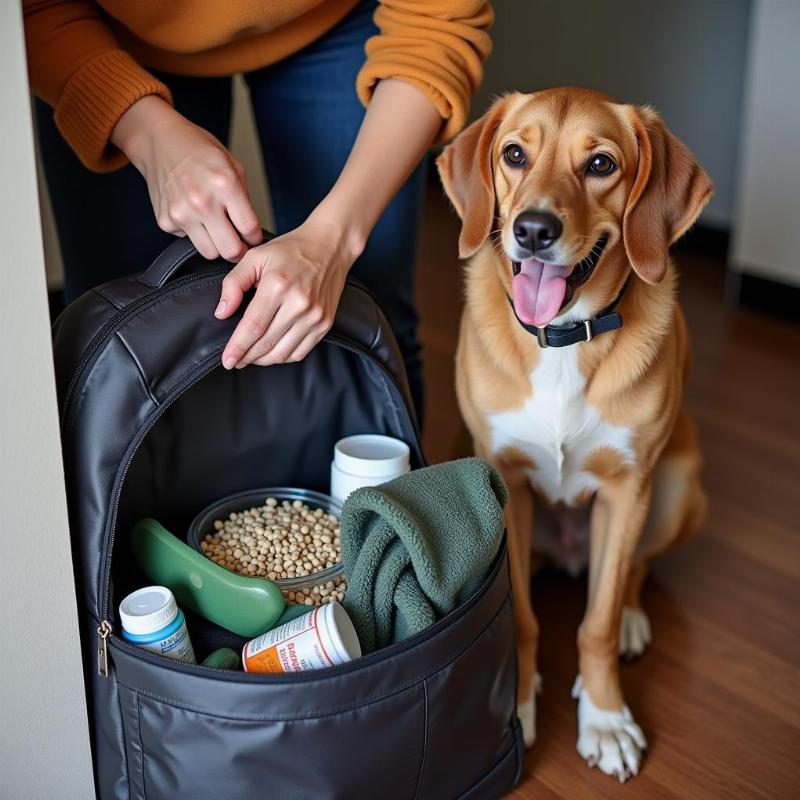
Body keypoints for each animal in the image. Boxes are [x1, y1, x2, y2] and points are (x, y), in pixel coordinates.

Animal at [438, 89, 712, 780]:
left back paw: (635, 621)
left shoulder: (628, 490)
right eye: (514, 154)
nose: (533, 230)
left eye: (601, 164)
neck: (562, 338)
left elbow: (598, 622)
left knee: (634, 571)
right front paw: (518, 698)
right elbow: (523, 618)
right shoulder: (505, 485)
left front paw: (606, 718)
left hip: (676, 490)